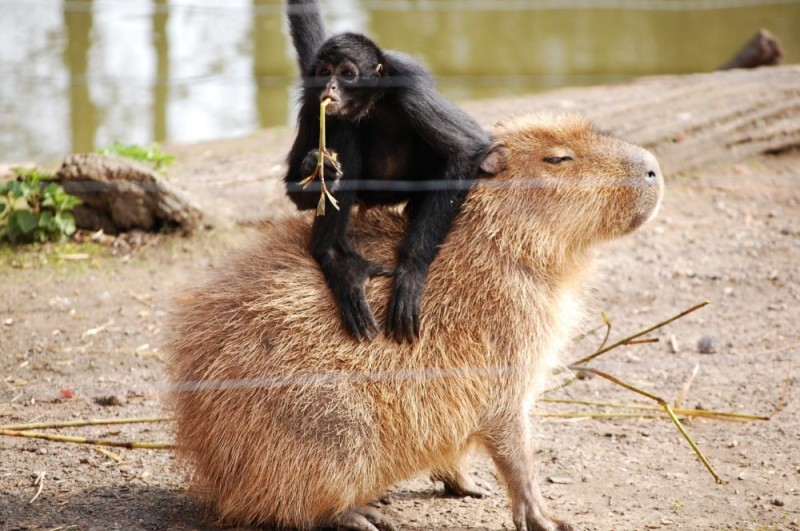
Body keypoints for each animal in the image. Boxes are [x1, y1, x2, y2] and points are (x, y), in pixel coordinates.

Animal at [284, 0, 490, 342]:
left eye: (347, 74)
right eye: (325, 72)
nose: (330, 86)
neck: (374, 102)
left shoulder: (409, 88)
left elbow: (469, 148)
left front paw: (411, 272)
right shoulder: (314, 102)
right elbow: (293, 189)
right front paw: (317, 164)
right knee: (343, 126)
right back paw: (336, 260)